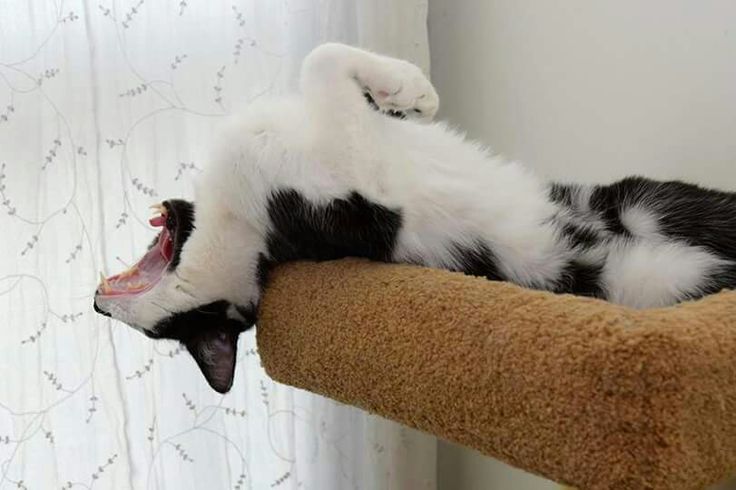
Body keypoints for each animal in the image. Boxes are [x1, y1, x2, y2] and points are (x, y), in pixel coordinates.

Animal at [92, 44, 736, 392]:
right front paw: (413, 89)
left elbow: (335, 70)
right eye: (165, 333)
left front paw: (410, 95)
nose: (97, 304)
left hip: (647, 200)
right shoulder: (361, 202)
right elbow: (321, 66)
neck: (246, 234)